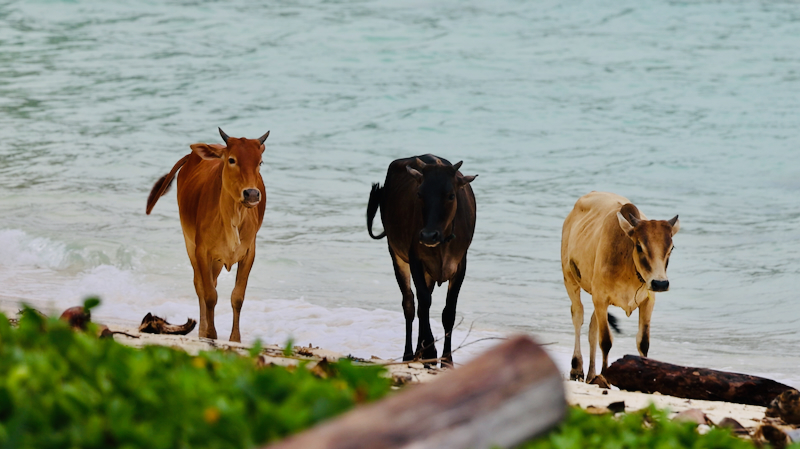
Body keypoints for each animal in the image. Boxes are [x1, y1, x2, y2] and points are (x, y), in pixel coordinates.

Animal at [145, 128, 268, 342]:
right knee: (200, 285)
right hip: (190, 243)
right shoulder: (202, 250)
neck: (232, 217)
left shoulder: (248, 253)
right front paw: (210, 333)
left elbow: (237, 297)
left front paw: (235, 339)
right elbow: (209, 294)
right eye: (232, 160)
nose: (252, 194)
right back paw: (202, 331)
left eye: (259, 162)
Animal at [368, 154, 478, 368]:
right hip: (396, 254)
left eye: (451, 195)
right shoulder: (415, 259)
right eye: (419, 194)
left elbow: (448, 311)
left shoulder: (461, 263)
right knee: (410, 304)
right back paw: (410, 354)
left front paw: (447, 360)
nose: (428, 235)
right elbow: (424, 302)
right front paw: (430, 352)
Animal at [560, 191, 680, 384]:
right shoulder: (600, 298)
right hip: (569, 278)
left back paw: (591, 375)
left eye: (671, 247)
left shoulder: (648, 301)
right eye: (639, 246)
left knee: (592, 326)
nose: (660, 283)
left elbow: (643, 342)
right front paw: (605, 376)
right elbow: (606, 341)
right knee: (578, 315)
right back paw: (577, 368)